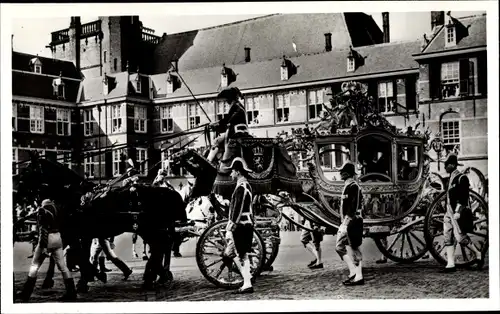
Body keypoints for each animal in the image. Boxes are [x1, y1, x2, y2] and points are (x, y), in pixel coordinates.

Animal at [16, 153, 188, 296]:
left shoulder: (77, 233)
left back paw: (152, 276)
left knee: (161, 247)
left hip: (149, 229)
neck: (74, 197)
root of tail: (167, 192)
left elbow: (80, 256)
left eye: (27, 171)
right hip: (151, 229)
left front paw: (88, 278)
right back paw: (157, 275)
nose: (17, 193)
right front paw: (84, 277)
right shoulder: (74, 233)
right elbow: (72, 255)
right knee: (161, 247)